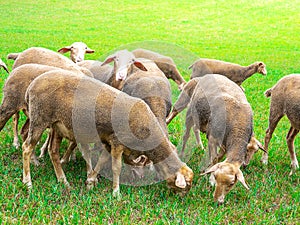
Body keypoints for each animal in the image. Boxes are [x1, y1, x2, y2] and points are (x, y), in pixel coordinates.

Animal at [22, 71, 193, 197]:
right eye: (185, 187)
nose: (181, 198)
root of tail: (31, 86)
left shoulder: (109, 141)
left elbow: (102, 160)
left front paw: (90, 181)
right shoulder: (117, 142)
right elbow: (116, 167)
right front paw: (116, 193)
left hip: (57, 125)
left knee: (53, 152)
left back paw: (63, 181)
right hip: (39, 118)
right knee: (27, 148)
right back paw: (28, 183)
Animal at [166, 74, 253, 204]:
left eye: (232, 183)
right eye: (216, 177)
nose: (218, 201)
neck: (238, 125)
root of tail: (202, 76)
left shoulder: (224, 143)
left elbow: (218, 157)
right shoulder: (212, 138)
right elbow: (214, 159)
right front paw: (211, 179)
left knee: (195, 129)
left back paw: (200, 146)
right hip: (188, 108)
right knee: (183, 130)